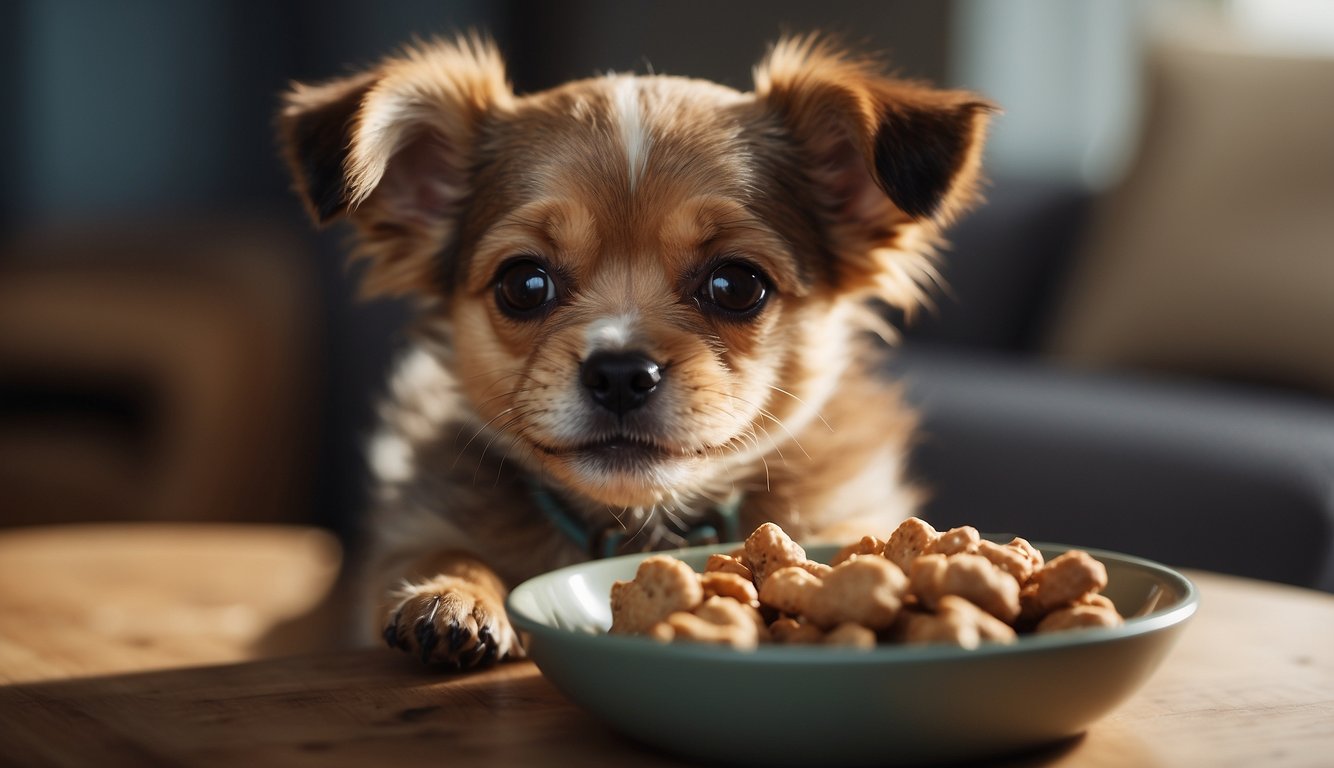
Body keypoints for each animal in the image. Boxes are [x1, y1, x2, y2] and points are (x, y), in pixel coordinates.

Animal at [278, 31, 992, 666]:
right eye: (523, 283)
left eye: (737, 284)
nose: (620, 373)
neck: (639, 524)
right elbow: (439, 549)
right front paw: (452, 591)